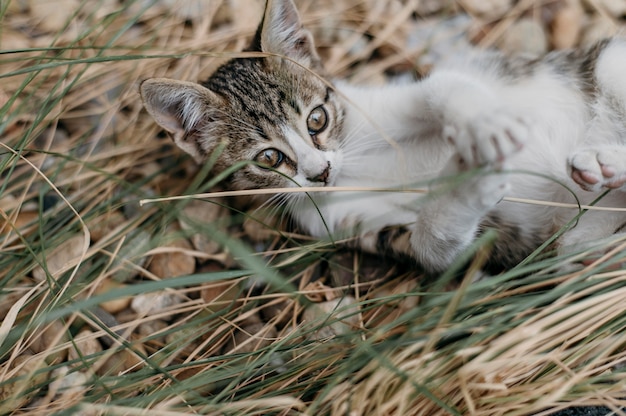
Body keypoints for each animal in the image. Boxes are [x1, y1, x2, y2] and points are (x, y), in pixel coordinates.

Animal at [139, 0, 624, 272]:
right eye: (269, 159)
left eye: (317, 120)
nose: (319, 173)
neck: (354, 170)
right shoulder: (353, 226)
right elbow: (435, 244)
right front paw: (469, 181)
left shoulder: (376, 107)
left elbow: (442, 86)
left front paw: (484, 124)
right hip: (575, 244)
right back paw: (602, 168)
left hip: (609, 61)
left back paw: (602, 157)